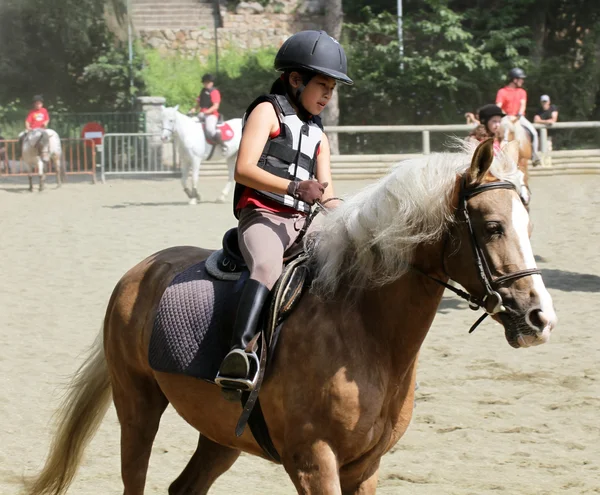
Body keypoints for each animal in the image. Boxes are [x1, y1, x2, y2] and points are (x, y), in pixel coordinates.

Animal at [25, 140, 556, 495]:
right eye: (493, 227)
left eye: (529, 225)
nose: (540, 318)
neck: (365, 329)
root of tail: (141, 270)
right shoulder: (313, 462)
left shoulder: (365, 467)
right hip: (137, 407)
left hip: (220, 433)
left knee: (185, 487)